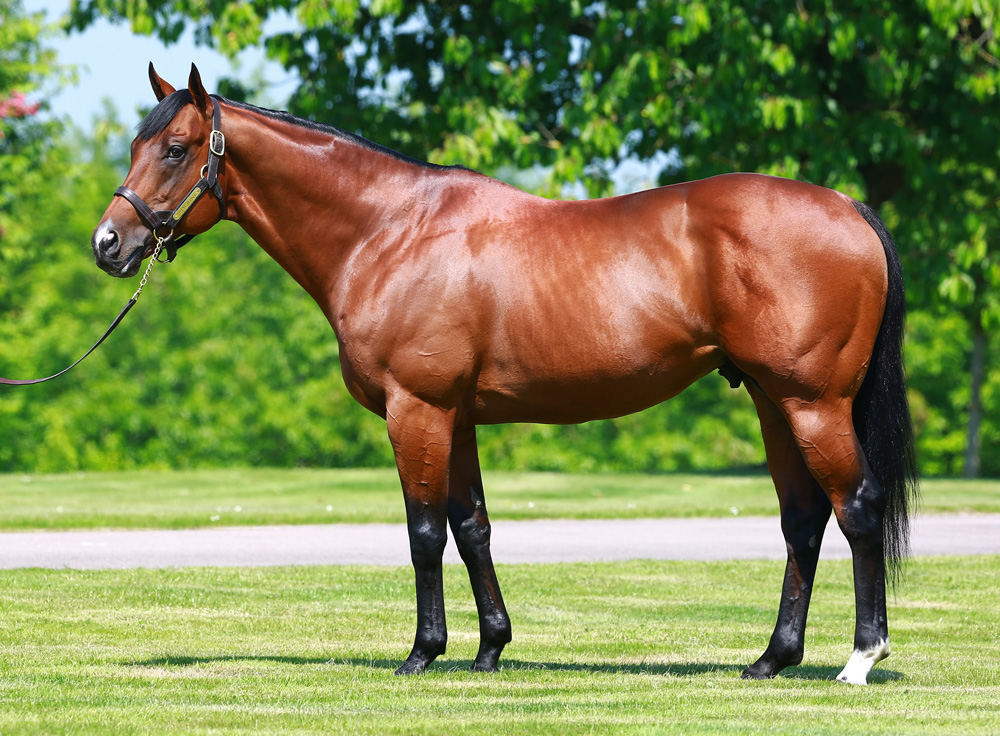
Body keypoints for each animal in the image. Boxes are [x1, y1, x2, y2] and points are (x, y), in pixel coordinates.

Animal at [92, 66, 916, 688]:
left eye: (174, 148)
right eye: (137, 144)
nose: (109, 243)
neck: (388, 231)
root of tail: (849, 208)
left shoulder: (417, 410)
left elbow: (425, 531)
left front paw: (422, 653)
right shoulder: (456, 417)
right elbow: (473, 527)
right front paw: (490, 647)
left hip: (813, 403)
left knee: (857, 508)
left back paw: (859, 658)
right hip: (775, 403)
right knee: (803, 520)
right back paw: (771, 659)